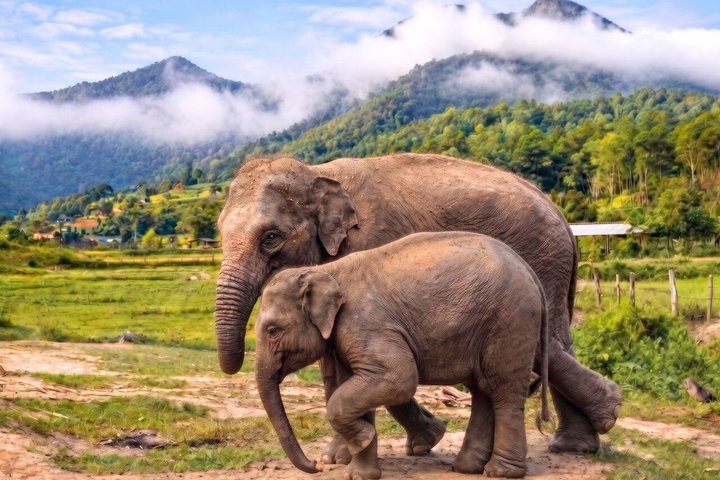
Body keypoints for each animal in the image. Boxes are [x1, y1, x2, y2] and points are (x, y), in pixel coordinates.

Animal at [255, 232, 552, 479]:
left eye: (273, 330)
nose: (315, 466)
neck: (325, 270)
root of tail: (530, 271)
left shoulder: (365, 323)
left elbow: (398, 377)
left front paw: (363, 439)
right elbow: (353, 386)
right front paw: (360, 473)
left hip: (510, 321)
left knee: (503, 391)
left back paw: (500, 471)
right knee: (482, 390)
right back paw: (466, 467)